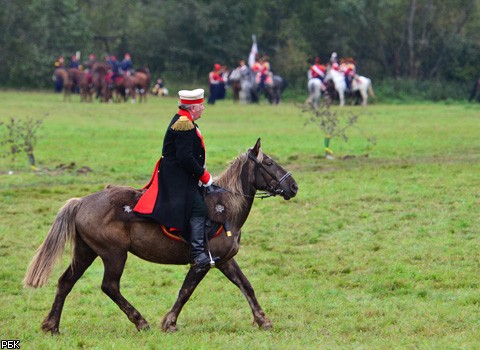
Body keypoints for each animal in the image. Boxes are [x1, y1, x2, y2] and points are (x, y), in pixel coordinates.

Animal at [24, 139, 298, 334]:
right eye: (269, 163)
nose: (293, 186)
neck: (225, 206)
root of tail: (81, 201)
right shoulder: (202, 263)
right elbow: (186, 291)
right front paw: (169, 322)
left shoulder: (224, 261)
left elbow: (246, 286)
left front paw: (263, 320)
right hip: (114, 254)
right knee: (109, 286)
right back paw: (140, 321)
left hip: (86, 252)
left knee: (66, 282)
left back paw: (52, 326)